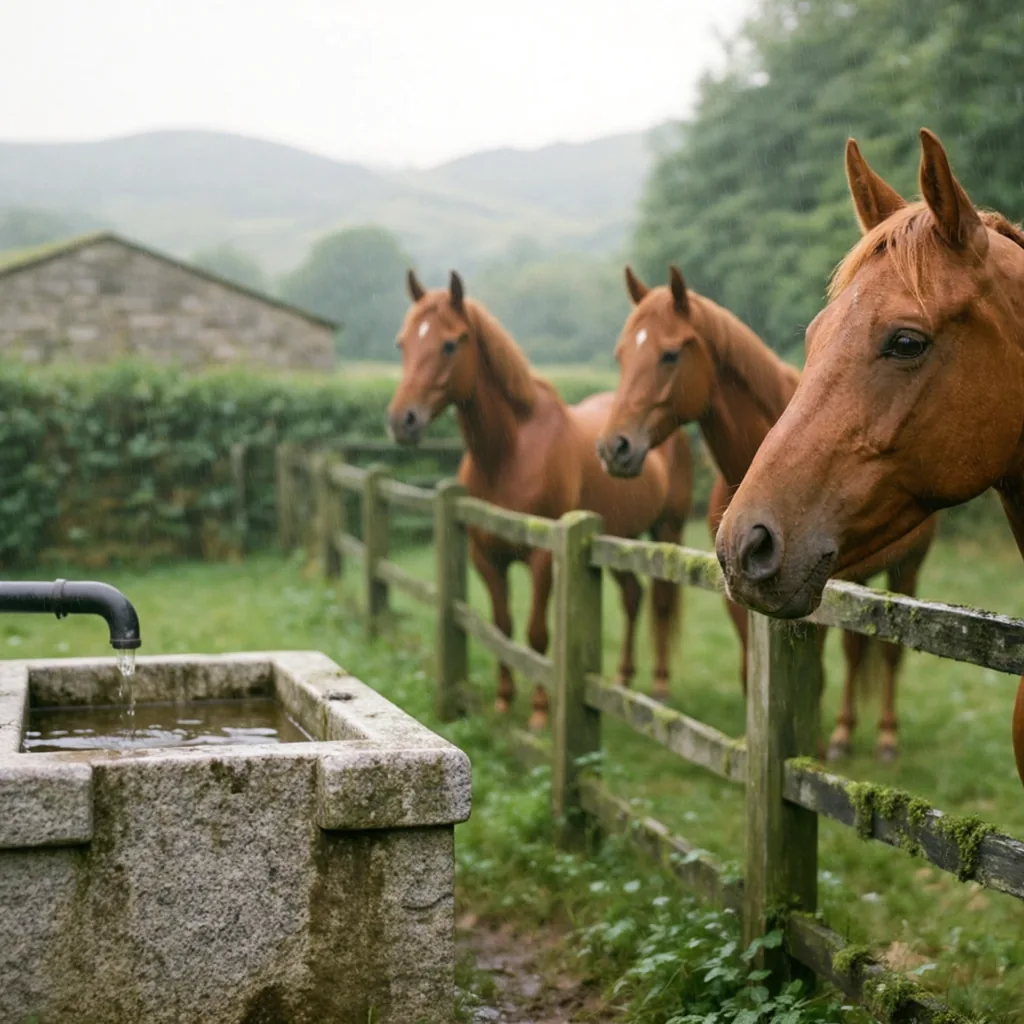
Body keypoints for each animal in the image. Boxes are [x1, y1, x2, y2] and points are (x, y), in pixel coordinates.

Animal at [387, 270, 693, 729]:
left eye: (449, 343)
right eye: (403, 343)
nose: (402, 420)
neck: (510, 453)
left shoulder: (543, 558)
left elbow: (536, 635)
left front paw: (537, 712)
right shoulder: (486, 556)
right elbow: (502, 626)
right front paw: (502, 701)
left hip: (667, 530)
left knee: (659, 601)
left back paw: (659, 685)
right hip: (620, 536)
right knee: (632, 597)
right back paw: (622, 678)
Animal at [596, 265, 937, 761]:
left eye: (669, 354)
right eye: (621, 356)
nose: (613, 448)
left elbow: (817, 676)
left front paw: (811, 749)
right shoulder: (741, 598)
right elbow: (750, 672)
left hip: (906, 568)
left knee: (886, 657)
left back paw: (882, 738)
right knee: (857, 652)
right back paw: (844, 733)